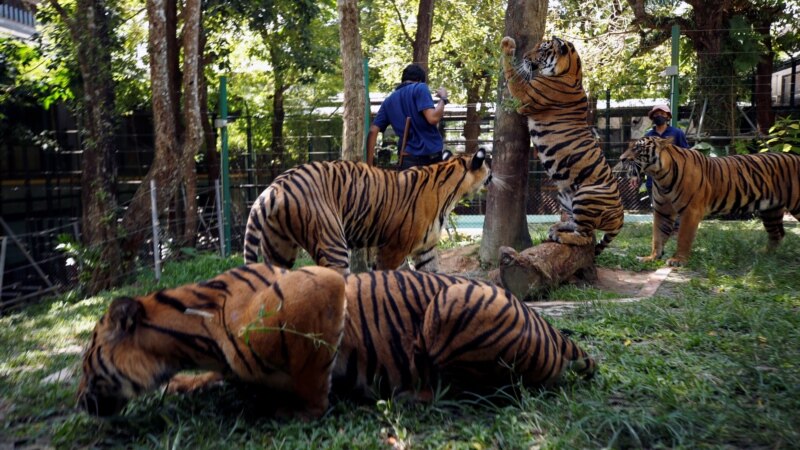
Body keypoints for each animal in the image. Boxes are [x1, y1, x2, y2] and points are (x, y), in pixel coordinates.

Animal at [78, 264, 596, 418]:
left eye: (85, 365)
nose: (81, 402)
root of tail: (556, 332)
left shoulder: (323, 286)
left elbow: (312, 374)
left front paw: (300, 409)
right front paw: (188, 384)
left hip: (449, 305)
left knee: (479, 388)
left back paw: (408, 396)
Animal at [243, 150, 491, 273]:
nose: (492, 175)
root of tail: (276, 187)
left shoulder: (425, 249)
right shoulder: (394, 248)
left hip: (278, 249)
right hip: (332, 244)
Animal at [500, 36, 624, 254]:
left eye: (541, 49)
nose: (525, 56)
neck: (573, 72)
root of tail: (621, 219)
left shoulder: (525, 93)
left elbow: (512, 73)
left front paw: (507, 45)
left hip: (586, 195)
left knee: (584, 236)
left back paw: (560, 235)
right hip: (564, 196)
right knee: (580, 227)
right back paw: (558, 226)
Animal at [612, 136, 800, 266]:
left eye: (637, 148)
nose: (621, 158)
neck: (660, 176)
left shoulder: (691, 211)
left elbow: (683, 237)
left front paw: (678, 260)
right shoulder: (662, 211)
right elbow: (657, 236)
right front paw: (651, 257)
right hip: (770, 210)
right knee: (777, 234)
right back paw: (764, 255)